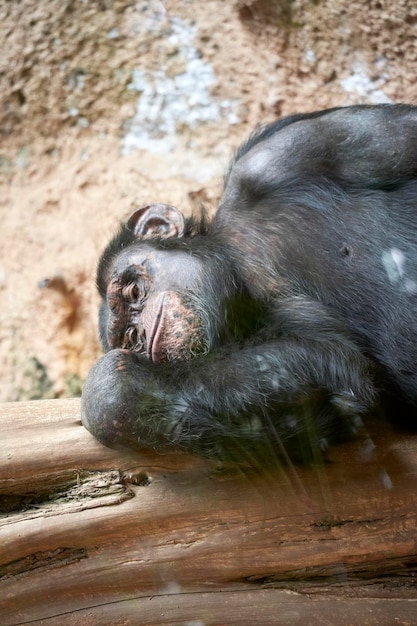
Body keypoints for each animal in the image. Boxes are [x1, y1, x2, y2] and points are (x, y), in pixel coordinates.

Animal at [80, 103, 416, 464]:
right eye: (130, 338)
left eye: (133, 292)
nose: (142, 335)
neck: (239, 266)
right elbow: (332, 368)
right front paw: (115, 390)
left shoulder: (291, 150)